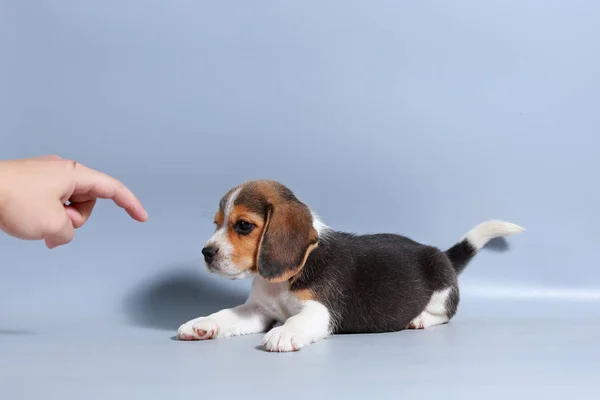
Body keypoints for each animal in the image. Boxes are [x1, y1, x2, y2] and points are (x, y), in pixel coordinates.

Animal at [176, 180, 524, 352]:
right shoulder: (259, 311)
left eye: (244, 226)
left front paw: (284, 334)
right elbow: (226, 315)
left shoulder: (321, 311)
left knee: (445, 312)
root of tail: (442, 254)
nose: (206, 252)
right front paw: (201, 324)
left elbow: (297, 321)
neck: (280, 281)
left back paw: (421, 319)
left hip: (441, 285)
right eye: (216, 224)